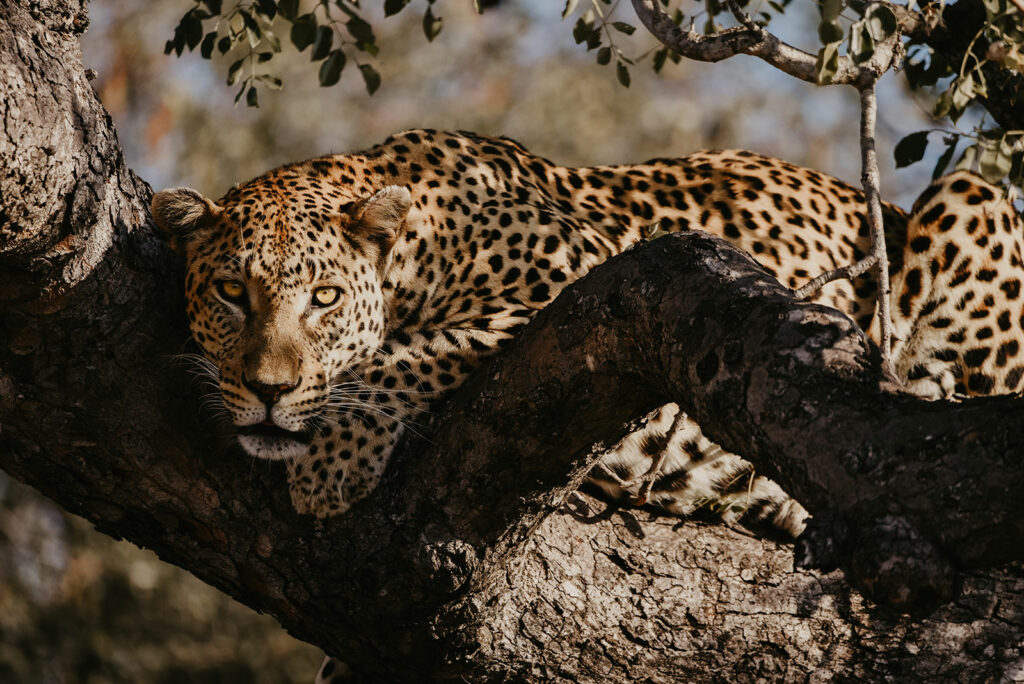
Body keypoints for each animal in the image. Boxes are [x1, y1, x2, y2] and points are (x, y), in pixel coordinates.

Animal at [151, 129, 1023, 538]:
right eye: (231, 293)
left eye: (325, 298)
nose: (268, 392)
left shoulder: (595, 275)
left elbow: (412, 354)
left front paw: (332, 463)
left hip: (972, 195)